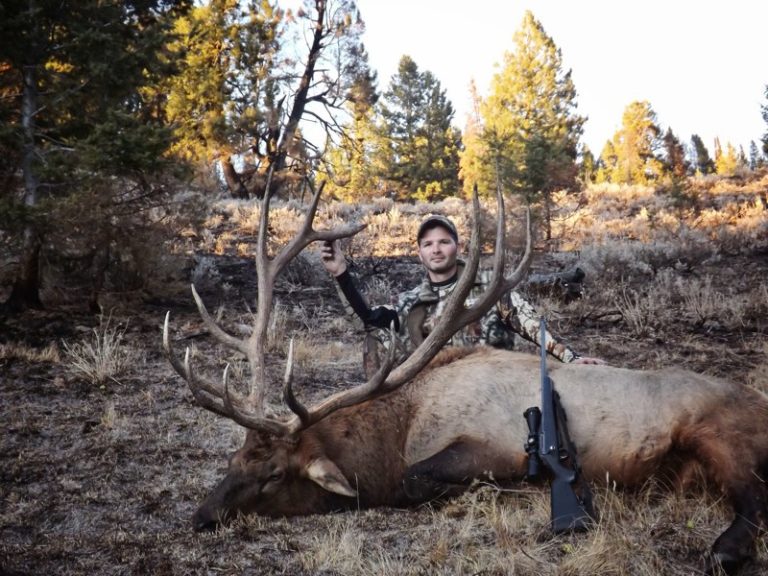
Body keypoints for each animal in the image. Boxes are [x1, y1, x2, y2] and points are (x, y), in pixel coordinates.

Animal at [163, 181, 768, 576]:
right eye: (235, 459)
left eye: (271, 476)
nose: (200, 517)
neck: (397, 431)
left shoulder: (491, 447)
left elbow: (416, 481)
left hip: (721, 434)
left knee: (754, 498)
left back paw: (723, 551)